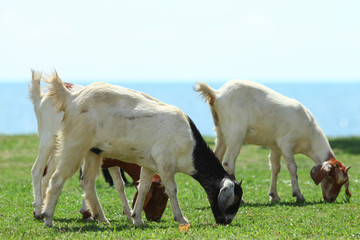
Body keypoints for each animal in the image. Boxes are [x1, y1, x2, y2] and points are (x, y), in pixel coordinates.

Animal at [40, 71, 242, 227]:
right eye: (234, 202)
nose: (225, 221)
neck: (190, 146)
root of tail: (72, 98)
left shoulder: (149, 164)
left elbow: (143, 187)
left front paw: (136, 218)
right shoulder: (165, 163)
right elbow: (172, 189)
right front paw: (181, 219)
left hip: (92, 151)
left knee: (87, 182)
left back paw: (102, 218)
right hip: (74, 144)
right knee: (56, 179)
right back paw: (48, 218)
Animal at [195, 80, 350, 202]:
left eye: (343, 182)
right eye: (331, 178)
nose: (331, 198)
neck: (309, 135)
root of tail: (217, 94)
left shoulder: (275, 147)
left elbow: (275, 168)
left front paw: (274, 195)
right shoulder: (286, 142)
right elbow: (293, 168)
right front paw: (299, 195)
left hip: (220, 132)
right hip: (235, 133)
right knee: (229, 163)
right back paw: (240, 199)